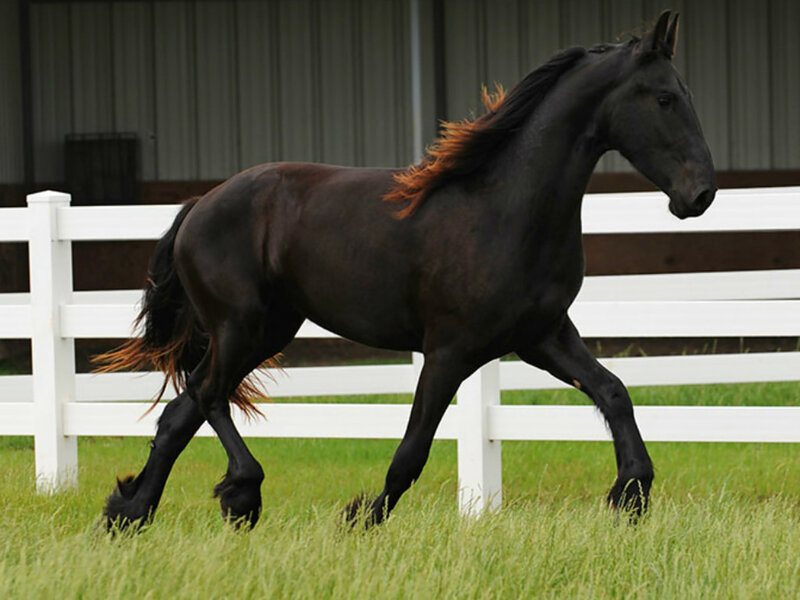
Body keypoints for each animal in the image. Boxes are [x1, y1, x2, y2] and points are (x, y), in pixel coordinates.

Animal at [97, 10, 715, 530]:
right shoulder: (449, 352)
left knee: (182, 410)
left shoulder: (542, 336)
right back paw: (229, 495)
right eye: (665, 98)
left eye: (686, 93)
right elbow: (411, 452)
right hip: (240, 326)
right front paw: (360, 518)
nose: (701, 194)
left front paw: (631, 494)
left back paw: (134, 512)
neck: (504, 210)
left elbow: (614, 392)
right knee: (204, 396)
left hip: (268, 329)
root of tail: (198, 205)